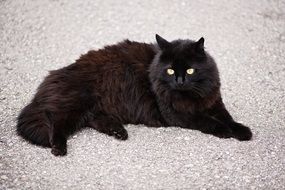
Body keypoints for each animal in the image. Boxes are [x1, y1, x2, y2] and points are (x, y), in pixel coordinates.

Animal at [16, 34, 251, 156]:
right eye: (170, 71)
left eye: (191, 70)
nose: (180, 81)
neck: (193, 96)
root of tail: (57, 73)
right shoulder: (179, 114)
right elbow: (209, 122)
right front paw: (226, 131)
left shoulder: (214, 102)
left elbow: (228, 118)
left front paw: (242, 131)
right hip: (76, 103)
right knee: (56, 122)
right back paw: (58, 147)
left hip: (90, 107)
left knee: (94, 120)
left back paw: (119, 132)